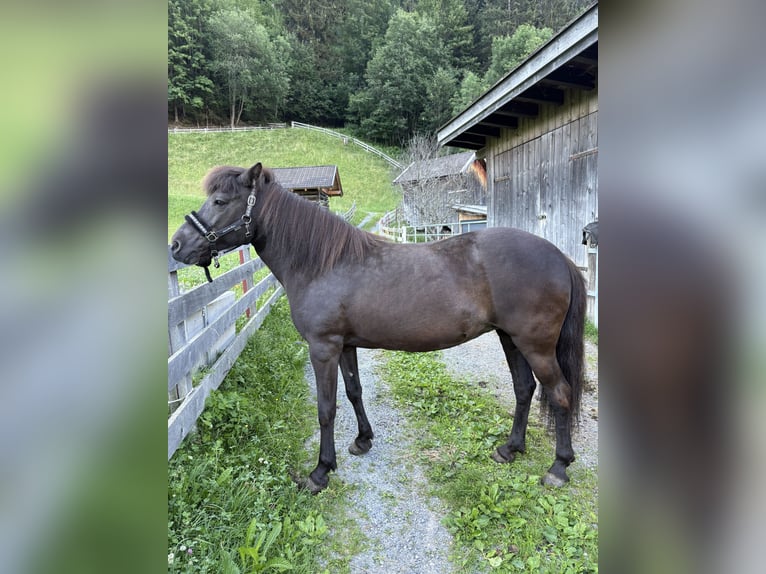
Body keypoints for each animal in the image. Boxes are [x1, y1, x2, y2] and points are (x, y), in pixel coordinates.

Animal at [171, 163, 586, 493]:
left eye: (220, 201)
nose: (176, 245)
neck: (322, 263)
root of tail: (559, 257)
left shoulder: (323, 348)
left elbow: (326, 408)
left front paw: (320, 472)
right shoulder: (345, 345)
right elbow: (354, 392)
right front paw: (362, 440)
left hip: (535, 345)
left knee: (560, 394)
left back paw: (559, 468)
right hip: (510, 339)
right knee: (524, 389)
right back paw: (510, 449)